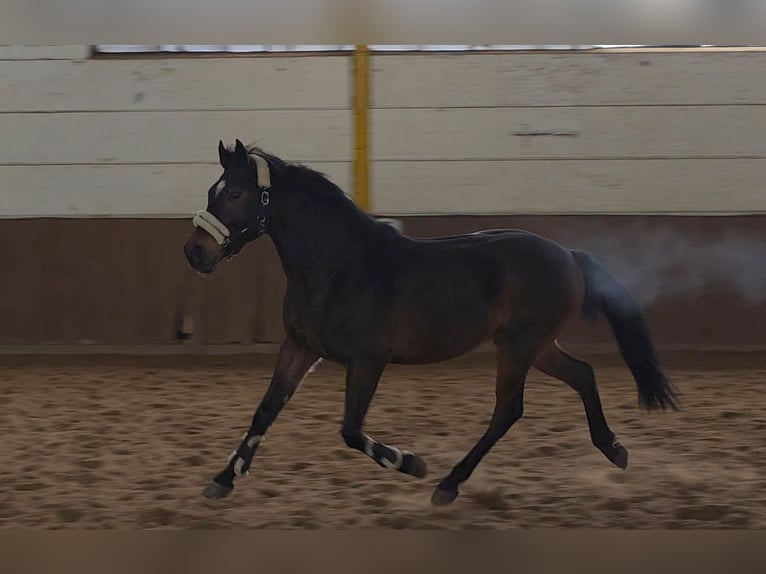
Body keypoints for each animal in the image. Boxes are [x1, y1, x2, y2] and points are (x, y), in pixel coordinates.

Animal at [183, 139, 679, 506]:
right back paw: (614, 449)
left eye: (235, 193)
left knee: (509, 409)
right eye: (211, 191)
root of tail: (568, 256)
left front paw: (410, 462)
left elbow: (350, 430)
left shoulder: (368, 361)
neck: (340, 267)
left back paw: (448, 484)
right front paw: (224, 479)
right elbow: (265, 410)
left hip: (519, 345)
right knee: (582, 374)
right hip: (536, 346)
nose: (195, 253)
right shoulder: (300, 346)